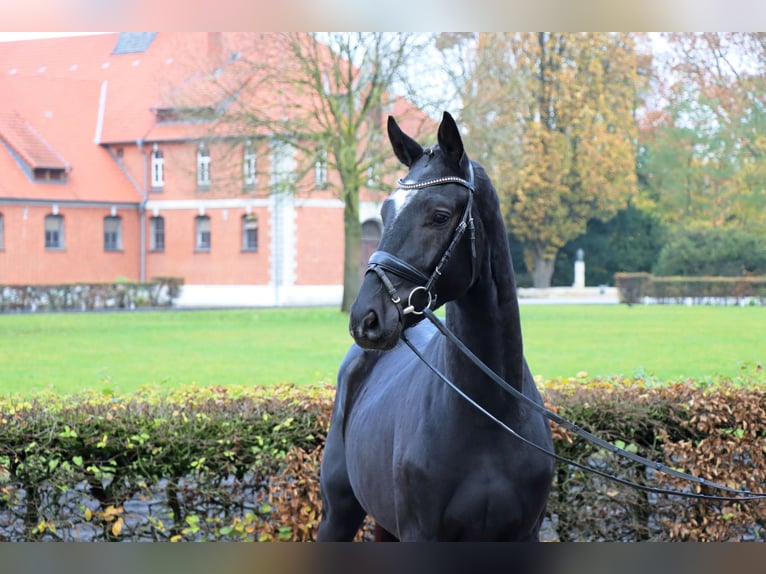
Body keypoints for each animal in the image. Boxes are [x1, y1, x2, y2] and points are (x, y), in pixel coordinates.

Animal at [316, 110, 556, 544]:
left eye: (439, 216)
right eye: (386, 212)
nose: (367, 318)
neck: (489, 414)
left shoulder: (524, 534)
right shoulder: (421, 533)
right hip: (338, 514)